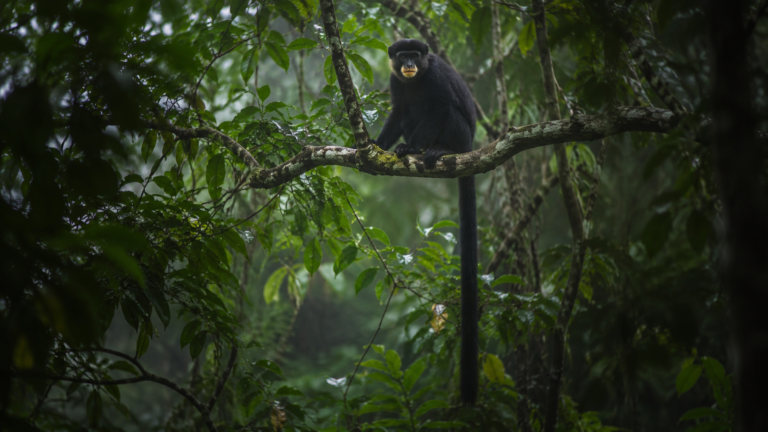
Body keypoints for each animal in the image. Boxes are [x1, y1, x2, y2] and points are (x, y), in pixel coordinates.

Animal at [372, 39, 478, 405]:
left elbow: (440, 107)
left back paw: (438, 150)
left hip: (463, 137)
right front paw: (375, 146)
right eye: (402, 56)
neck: (416, 79)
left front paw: (411, 148)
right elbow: (396, 112)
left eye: (415, 55)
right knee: (407, 114)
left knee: (449, 113)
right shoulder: (394, 82)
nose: (408, 63)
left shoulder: (434, 77)